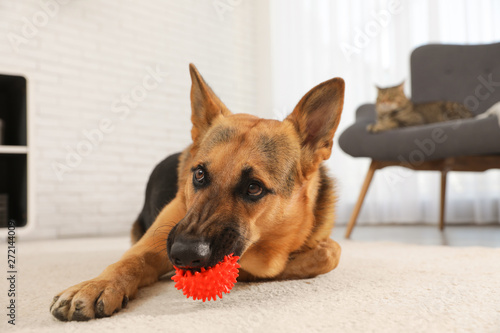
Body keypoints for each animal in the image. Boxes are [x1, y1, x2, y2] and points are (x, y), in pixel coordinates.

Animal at [49, 63, 344, 320]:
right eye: (199, 174)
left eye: (254, 187)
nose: (184, 254)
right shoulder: (154, 243)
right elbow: (128, 261)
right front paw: (96, 285)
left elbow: (331, 251)